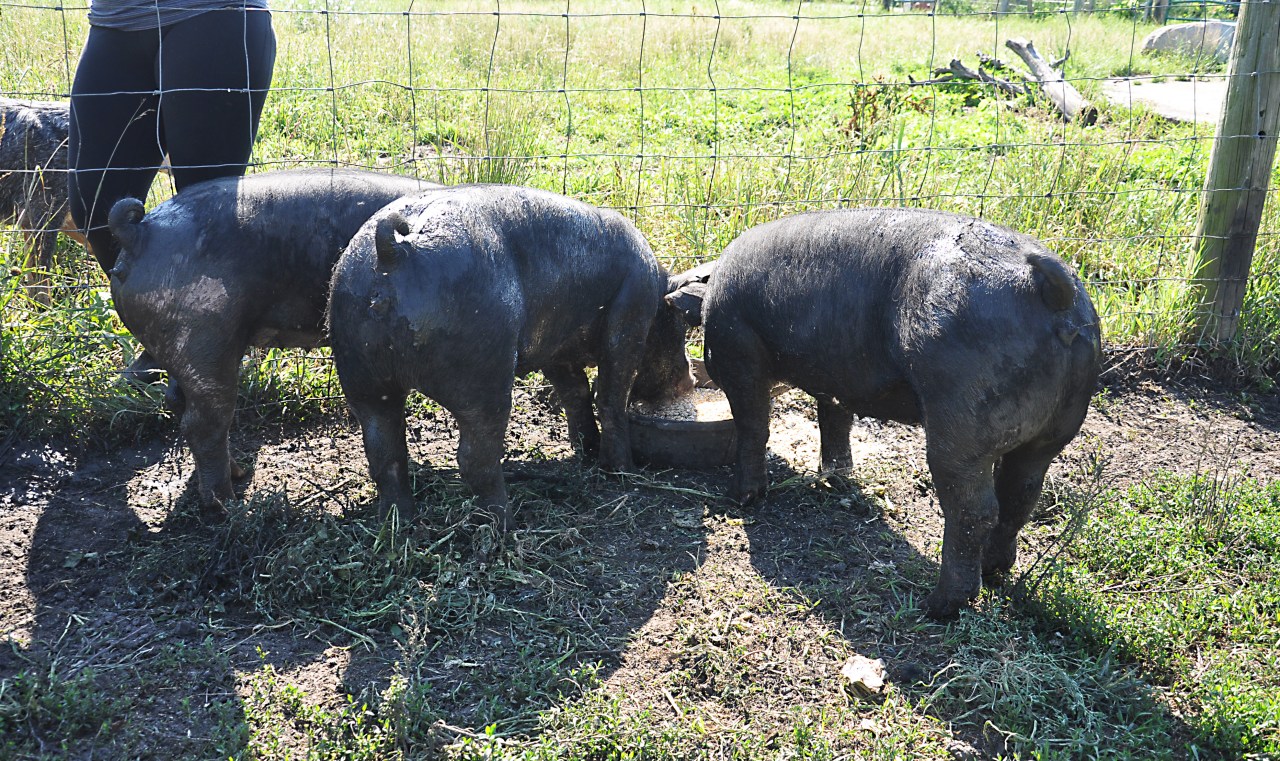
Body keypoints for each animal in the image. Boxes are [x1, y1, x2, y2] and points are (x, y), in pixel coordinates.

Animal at [107, 168, 438, 513]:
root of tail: (138, 234)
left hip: (184, 345)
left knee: (177, 401)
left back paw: (239, 473)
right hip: (204, 337)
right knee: (202, 423)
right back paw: (230, 504)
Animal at [326, 185, 695, 528]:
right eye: (678, 325)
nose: (692, 379)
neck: (656, 291)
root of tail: (394, 251)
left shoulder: (556, 348)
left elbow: (575, 394)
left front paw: (587, 453)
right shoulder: (631, 318)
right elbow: (610, 396)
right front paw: (625, 472)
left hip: (360, 371)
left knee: (384, 452)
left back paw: (400, 525)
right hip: (481, 372)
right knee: (474, 457)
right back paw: (507, 526)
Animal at [665, 208, 1101, 618]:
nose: (667, 298)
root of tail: (1052, 289)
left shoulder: (738, 354)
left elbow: (753, 424)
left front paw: (740, 498)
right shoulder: (835, 378)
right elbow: (834, 419)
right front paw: (835, 478)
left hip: (961, 420)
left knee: (974, 510)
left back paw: (936, 606)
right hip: (1055, 431)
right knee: (1020, 495)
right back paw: (994, 572)